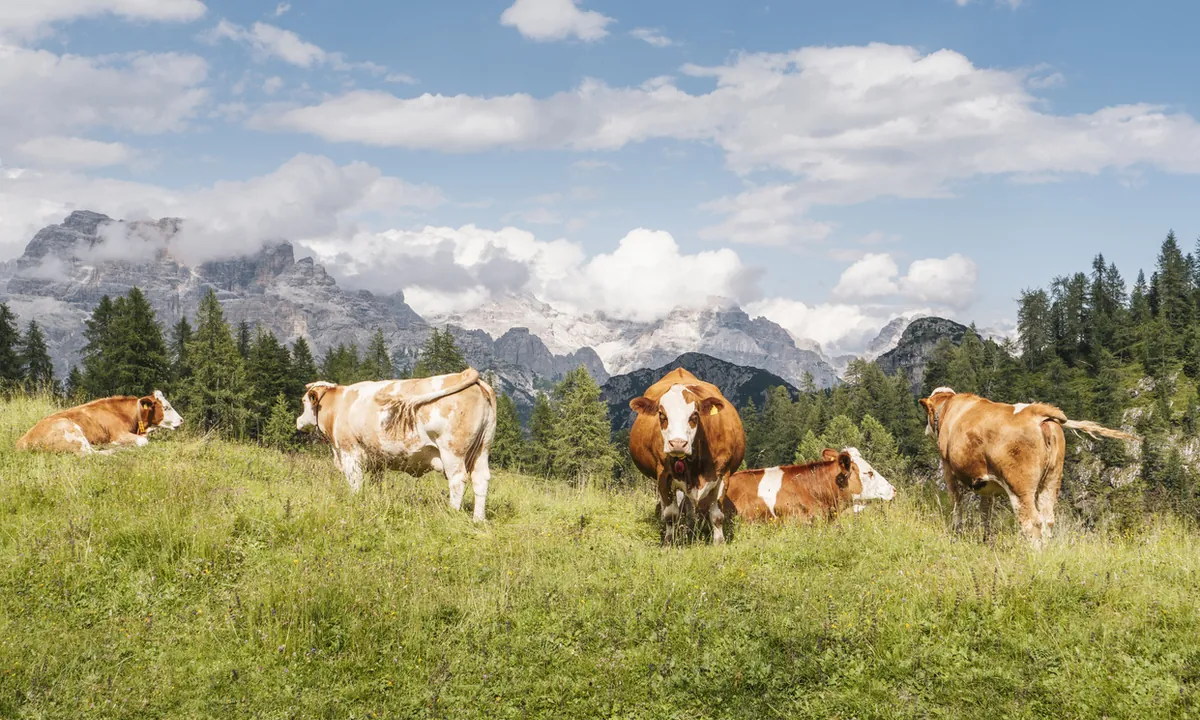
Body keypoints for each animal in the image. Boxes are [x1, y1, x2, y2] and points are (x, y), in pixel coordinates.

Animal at [15, 390, 183, 456]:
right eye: (166, 407)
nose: (181, 420)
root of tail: (22, 441)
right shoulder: (119, 434)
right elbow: (144, 441)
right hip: (71, 431)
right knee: (89, 454)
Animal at [296, 367, 496, 522]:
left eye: (304, 401)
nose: (298, 421)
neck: (338, 405)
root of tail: (465, 374)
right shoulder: (376, 461)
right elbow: (375, 483)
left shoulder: (349, 452)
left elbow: (355, 483)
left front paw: (355, 502)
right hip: (482, 449)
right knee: (481, 479)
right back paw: (478, 519)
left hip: (452, 450)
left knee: (458, 480)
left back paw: (451, 513)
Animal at [628, 367, 745, 545]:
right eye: (661, 415)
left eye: (694, 415)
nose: (677, 443)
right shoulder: (664, 476)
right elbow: (671, 515)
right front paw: (669, 542)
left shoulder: (724, 474)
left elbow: (717, 516)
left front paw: (719, 542)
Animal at [919, 387, 1138, 547]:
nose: (926, 431)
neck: (949, 408)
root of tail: (1036, 412)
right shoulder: (986, 485)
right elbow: (985, 513)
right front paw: (986, 540)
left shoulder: (948, 469)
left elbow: (957, 505)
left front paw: (956, 533)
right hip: (1051, 480)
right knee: (1048, 519)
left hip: (1020, 486)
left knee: (1032, 521)